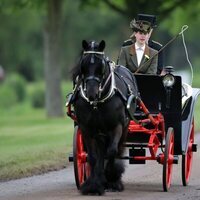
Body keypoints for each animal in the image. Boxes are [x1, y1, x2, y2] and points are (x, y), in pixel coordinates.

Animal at [71, 39, 138, 195]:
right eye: (83, 64)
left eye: (101, 66)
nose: (91, 93)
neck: (97, 102)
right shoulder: (86, 128)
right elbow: (93, 156)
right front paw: (93, 185)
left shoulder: (117, 126)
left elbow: (112, 151)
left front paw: (112, 179)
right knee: (101, 151)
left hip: (124, 127)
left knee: (116, 149)